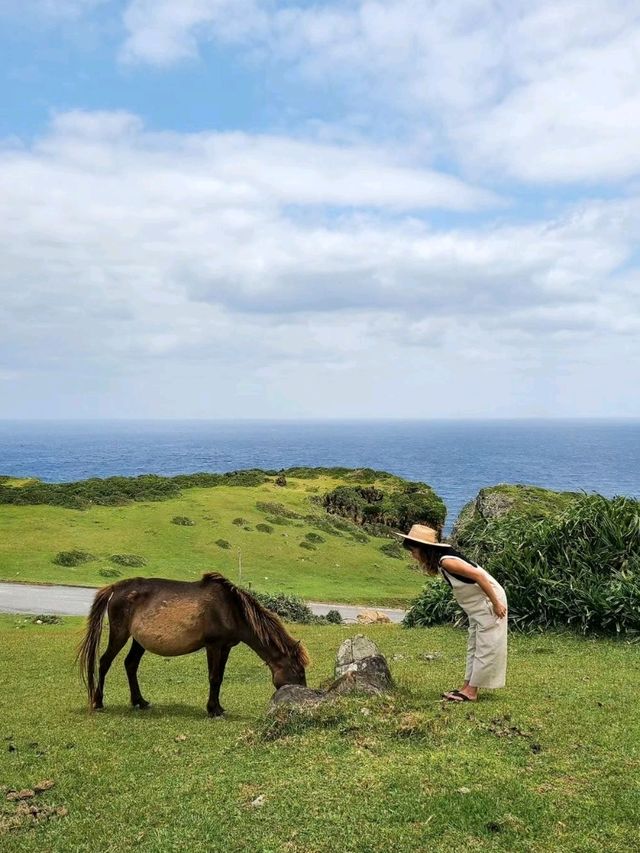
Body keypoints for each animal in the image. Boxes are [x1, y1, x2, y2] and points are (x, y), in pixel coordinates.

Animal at [77, 572, 308, 716]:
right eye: (298, 670)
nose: (302, 698)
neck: (231, 609)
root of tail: (116, 588)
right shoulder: (213, 646)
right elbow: (214, 677)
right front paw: (213, 710)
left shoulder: (226, 647)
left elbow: (219, 677)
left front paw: (219, 707)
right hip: (119, 634)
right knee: (104, 662)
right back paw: (98, 701)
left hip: (138, 640)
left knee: (130, 664)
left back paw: (139, 701)